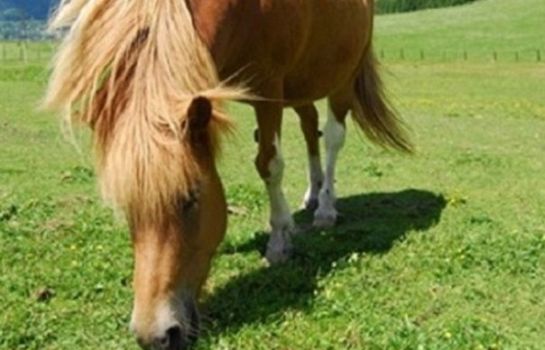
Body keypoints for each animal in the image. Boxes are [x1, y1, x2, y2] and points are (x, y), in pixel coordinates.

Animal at [46, 0, 410, 350]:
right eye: (125, 209)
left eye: (191, 198)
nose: (156, 335)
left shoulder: (269, 90)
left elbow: (269, 164)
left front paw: (279, 241)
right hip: (300, 86)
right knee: (310, 125)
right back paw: (311, 194)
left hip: (341, 78)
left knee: (333, 136)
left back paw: (325, 207)